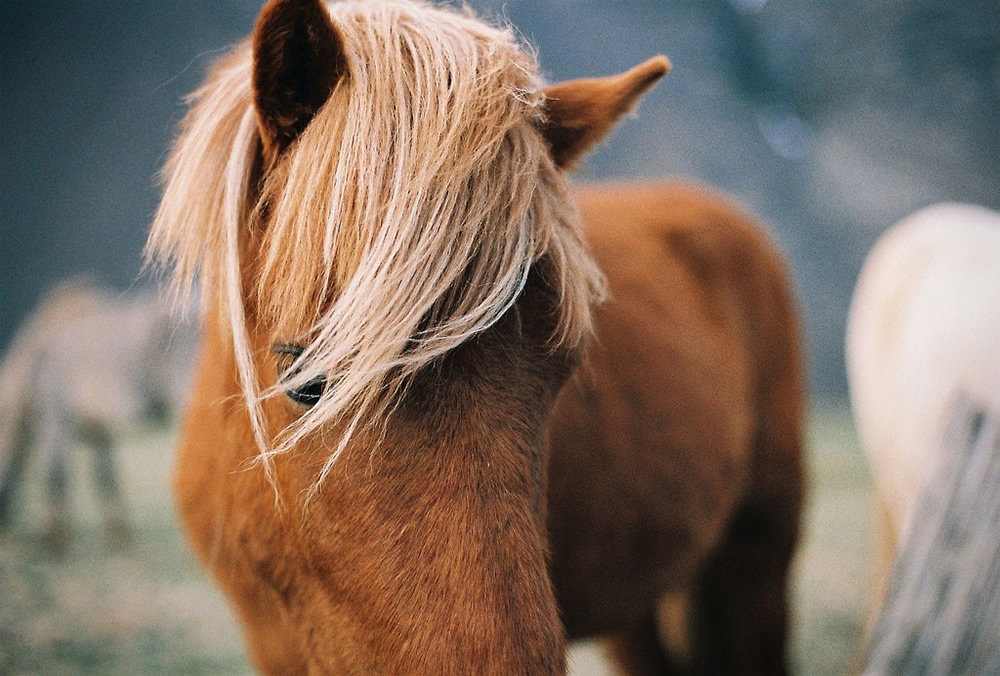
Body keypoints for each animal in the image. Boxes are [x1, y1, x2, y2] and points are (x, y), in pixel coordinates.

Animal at [0, 278, 198, 548]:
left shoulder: (55, 420)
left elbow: (57, 473)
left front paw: (55, 538)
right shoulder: (99, 431)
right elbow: (105, 476)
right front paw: (118, 533)